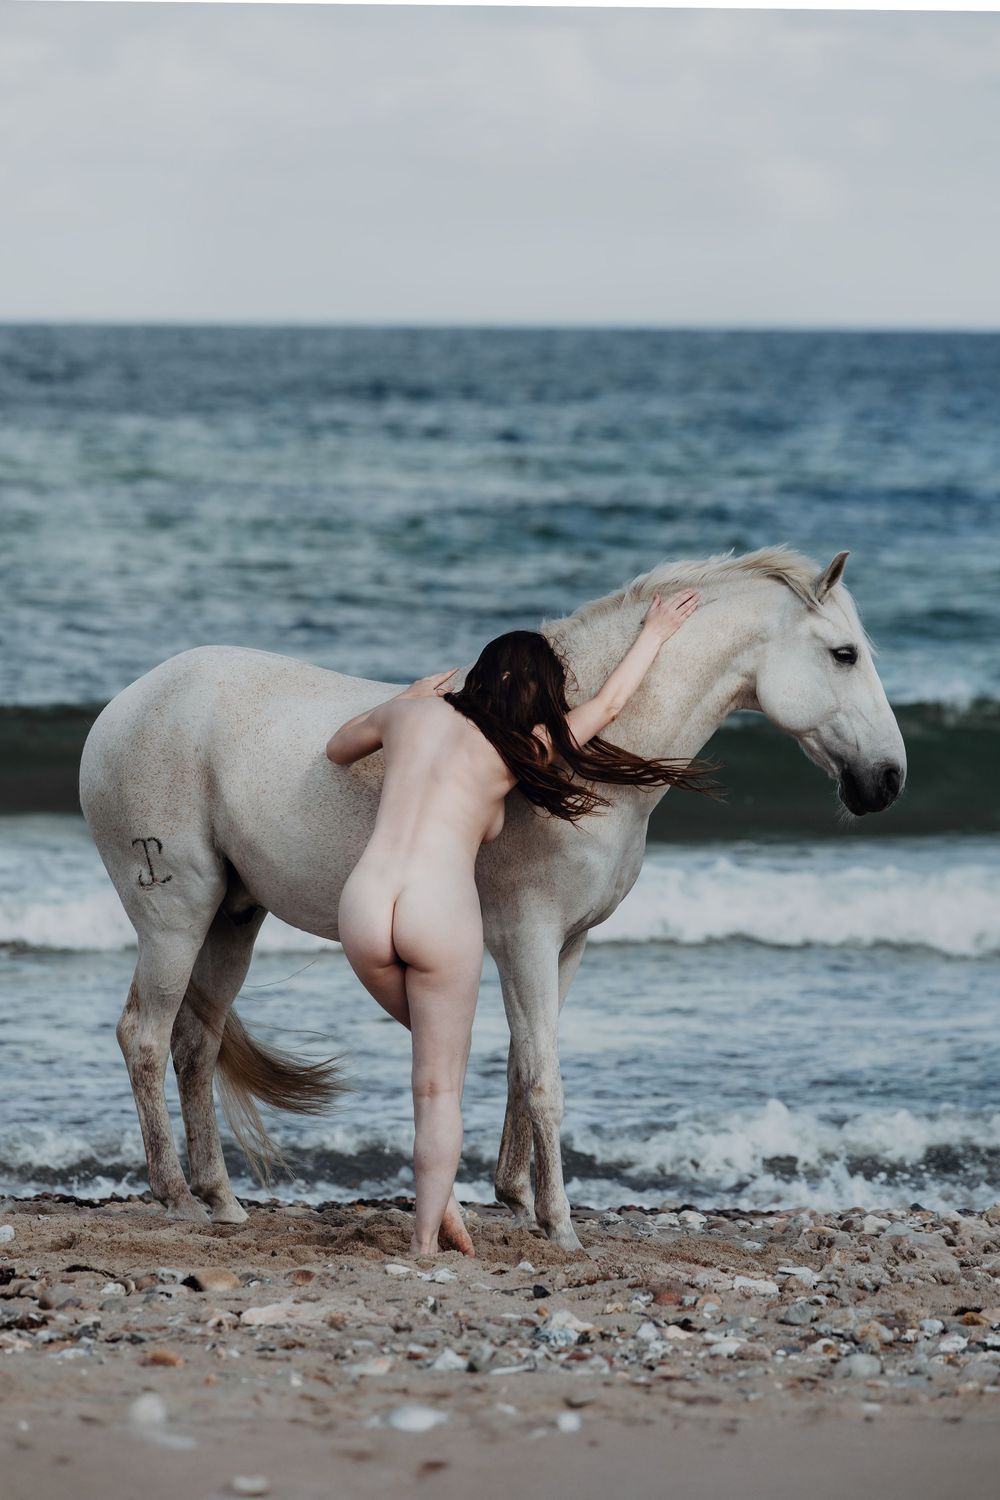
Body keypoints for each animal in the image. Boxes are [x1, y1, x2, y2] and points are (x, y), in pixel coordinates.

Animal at [79, 547, 905, 1249]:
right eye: (845, 654)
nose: (887, 781)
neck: (578, 754)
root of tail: (122, 708)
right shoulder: (527, 937)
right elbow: (544, 1080)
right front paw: (561, 1225)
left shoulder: (565, 943)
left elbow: (521, 1063)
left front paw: (517, 1199)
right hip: (175, 917)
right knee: (144, 1037)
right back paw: (177, 1197)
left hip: (233, 919)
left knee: (195, 1045)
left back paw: (221, 1200)